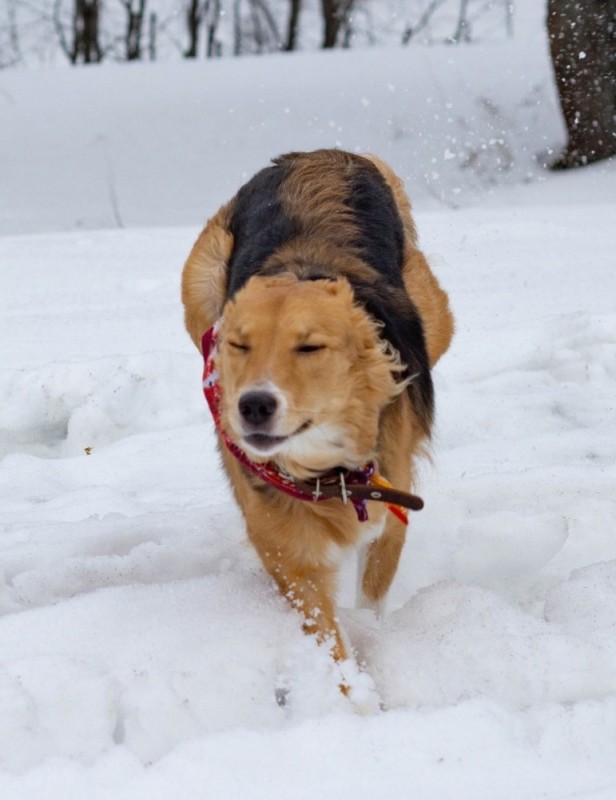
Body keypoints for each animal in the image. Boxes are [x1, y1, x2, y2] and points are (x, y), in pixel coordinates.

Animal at [180, 148, 454, 692]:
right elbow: (329, 642)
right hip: (198, 285)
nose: (253, 405)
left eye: (309, 348)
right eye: (238, 345)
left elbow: (372, 595)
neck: (326, 468)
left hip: (435, 314)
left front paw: (375, 642)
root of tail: (319, 155)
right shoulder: (288, 549)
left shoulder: (391, 501)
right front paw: (354, 698)